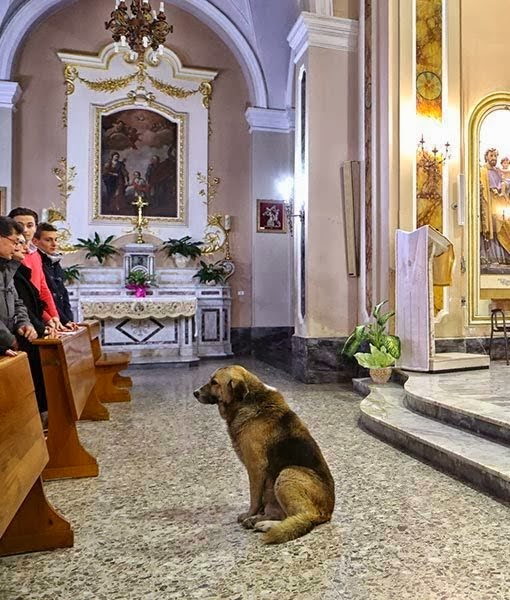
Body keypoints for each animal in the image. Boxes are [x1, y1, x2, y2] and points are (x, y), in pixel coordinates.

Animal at [192, 366, 334, 544]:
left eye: (214, 382)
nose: (195, 393)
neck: (247, 401)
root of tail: (327, 512)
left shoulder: (255, 468)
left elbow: (254, 497)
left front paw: (249, 514)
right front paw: (255, 515)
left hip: (287, 473)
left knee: (302, 517)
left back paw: (265, 524)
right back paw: (260, 520)